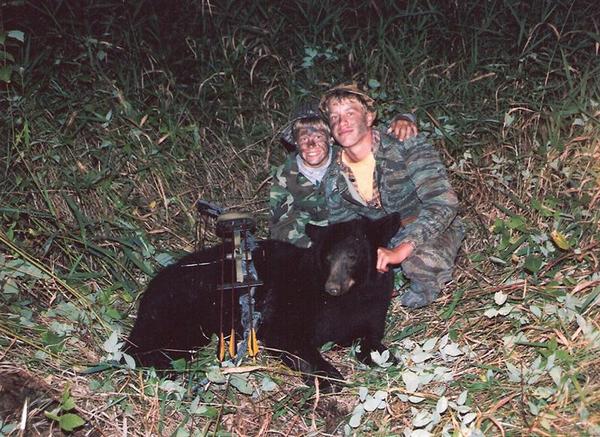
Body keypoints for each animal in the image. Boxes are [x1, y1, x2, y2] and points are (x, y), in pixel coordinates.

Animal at [126, 214, 398, 384]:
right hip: (187, 305)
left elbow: (371, 339)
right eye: (328, 256)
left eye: (353, 255)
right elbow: (286, 336)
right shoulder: (290, 302)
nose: (332, 287)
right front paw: (329, 376)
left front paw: (389, 358)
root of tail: (152, 286)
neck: (350, 296)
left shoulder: (372, 306)